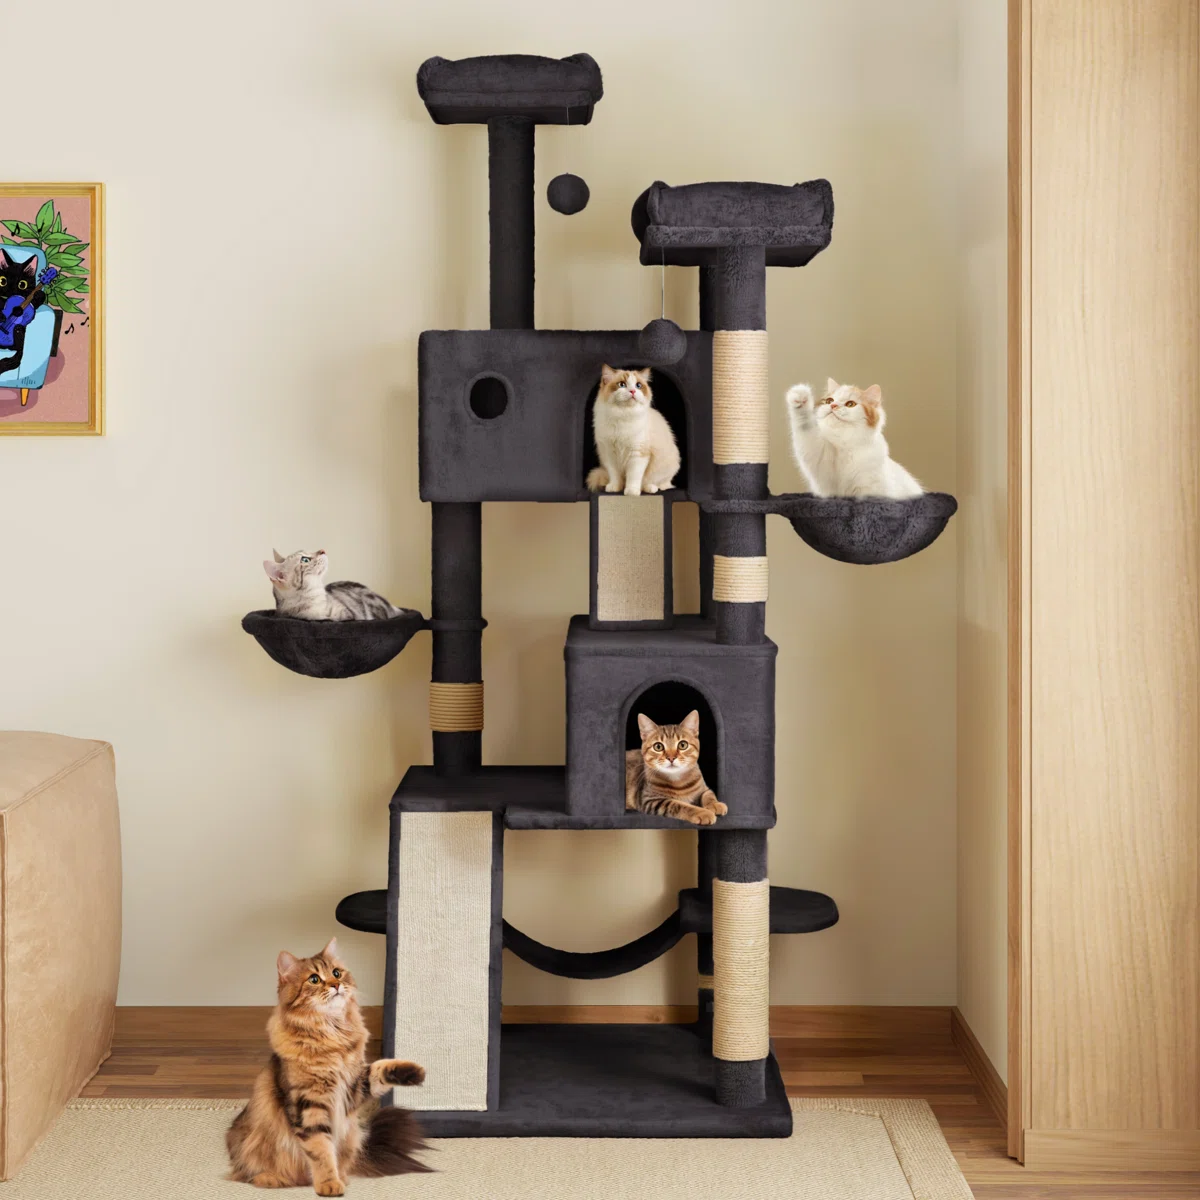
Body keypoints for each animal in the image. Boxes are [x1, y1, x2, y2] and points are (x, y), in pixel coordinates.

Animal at [226, 938, 429, 1195]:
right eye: (314, 979)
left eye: (336, 973)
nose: (336, 985)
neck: (332, 1035)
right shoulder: (309, 1105)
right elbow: (320, 1150)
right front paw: (328, 1184)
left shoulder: (353, 1085)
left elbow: (381, 1068)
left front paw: (414, 1072)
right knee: (251, 1174)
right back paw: (273, 1179)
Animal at [586, 365, 680, 496]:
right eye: (622, 384)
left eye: (638, 385)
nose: (633, 391)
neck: (623, 416)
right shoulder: (610, 454)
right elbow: (615, 475)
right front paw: (615, 488)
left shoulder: (638, 454)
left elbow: (633, 476)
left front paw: (631, 491)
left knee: (661, 484)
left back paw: (650, 488)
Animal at [785, 378, 924, 499]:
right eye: (829, 400)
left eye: (850, 404)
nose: (833, 405)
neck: (844, 442)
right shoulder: (820, 461)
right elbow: (805, 424)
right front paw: (800, 397)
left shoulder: (871, 489)